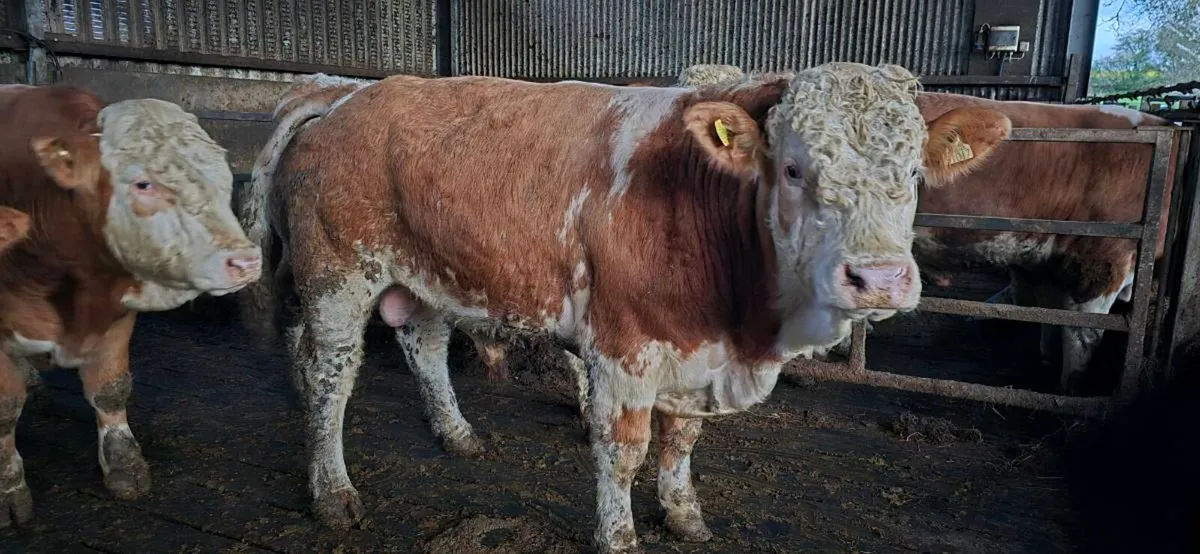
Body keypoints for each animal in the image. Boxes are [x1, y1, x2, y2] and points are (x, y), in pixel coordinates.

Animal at [0, 84, 263, 526]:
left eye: (223, 177)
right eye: (142, 184)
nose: (245, 261)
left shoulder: (116, 313)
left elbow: (111, 389)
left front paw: (124, 464)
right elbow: (5, 409)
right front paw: (8, 490)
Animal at [239, 62, 1010, 553]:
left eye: (913, 172)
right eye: (793, 168)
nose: (878, 278)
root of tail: (346, 95)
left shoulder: (695, 351)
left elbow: (682, 440)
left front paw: (683, 513)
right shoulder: (623, 346)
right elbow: (624, 450)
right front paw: (618, 536)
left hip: (429, 272)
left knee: (424, 347)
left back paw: (457, 435)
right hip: (339, 277)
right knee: (329, 379)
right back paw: (332, 492)